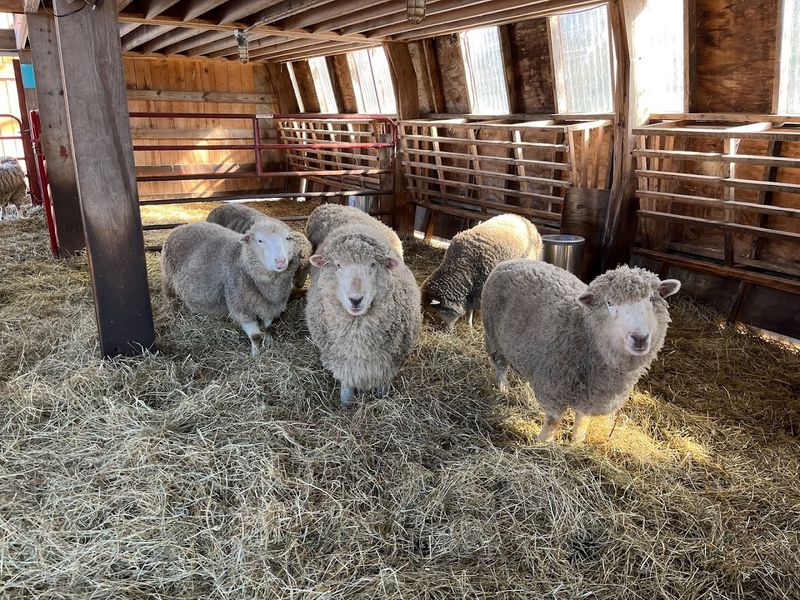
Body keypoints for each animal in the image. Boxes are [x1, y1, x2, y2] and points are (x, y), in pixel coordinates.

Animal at [161, 217, 302, 357]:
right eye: (260, 240)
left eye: (287, 238)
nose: (280, 261)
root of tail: (180, 227)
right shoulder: (241, 310)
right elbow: (255, 336)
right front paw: (255, 355)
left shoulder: (270, 306)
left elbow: (268, 328)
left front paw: (268, 344)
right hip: (168, 280)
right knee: (170, 297)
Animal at [305, 223, 421, 407]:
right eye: (338, 265)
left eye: (373, 264)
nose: (356, 299)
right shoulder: (345, 364)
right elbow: (346, 389)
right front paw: (345, 405)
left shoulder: (388, 364)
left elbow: (383, 387)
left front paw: (382, 399)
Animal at [481, 260, 681, 444]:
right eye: (609, 303)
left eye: (651, 299)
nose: (640, 338)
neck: (585, 331)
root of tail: (511, 261)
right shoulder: (554, 387)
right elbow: (553, 421)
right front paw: (543, 443)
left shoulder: (590, 394)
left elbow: (582, 420)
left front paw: (577, 442)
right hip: (493, 335)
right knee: (500, 365)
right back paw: (503, 388)